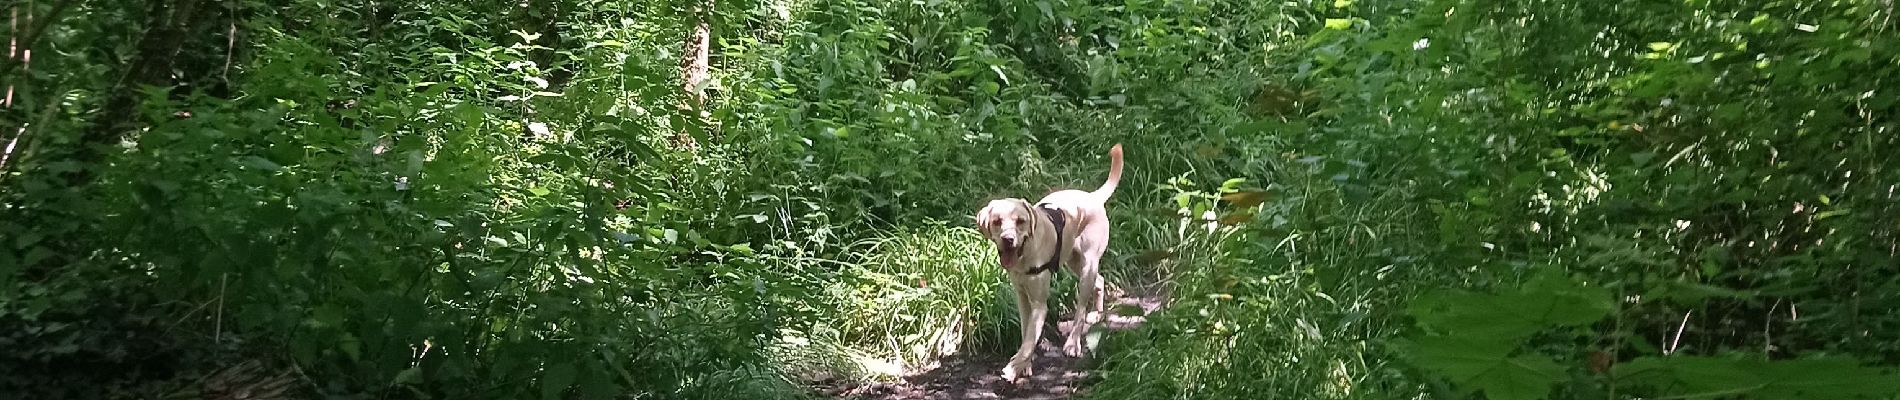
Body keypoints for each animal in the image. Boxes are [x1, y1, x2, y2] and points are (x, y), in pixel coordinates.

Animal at [972, 143, 1117, 381]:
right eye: (997, 221)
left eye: (1020, 221)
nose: (1008, 239)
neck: (1025, 256)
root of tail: (1092, 197)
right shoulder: (1022, 298)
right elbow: (1025, 334)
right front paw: (1024, 366)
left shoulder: (1040, 304)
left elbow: (1030, 340)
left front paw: (1013, 367)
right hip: (1074, 262)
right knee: (1100, 280)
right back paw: (1096, 313)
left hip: (1086, 265)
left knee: (1080, 309)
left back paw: (1073, 344)